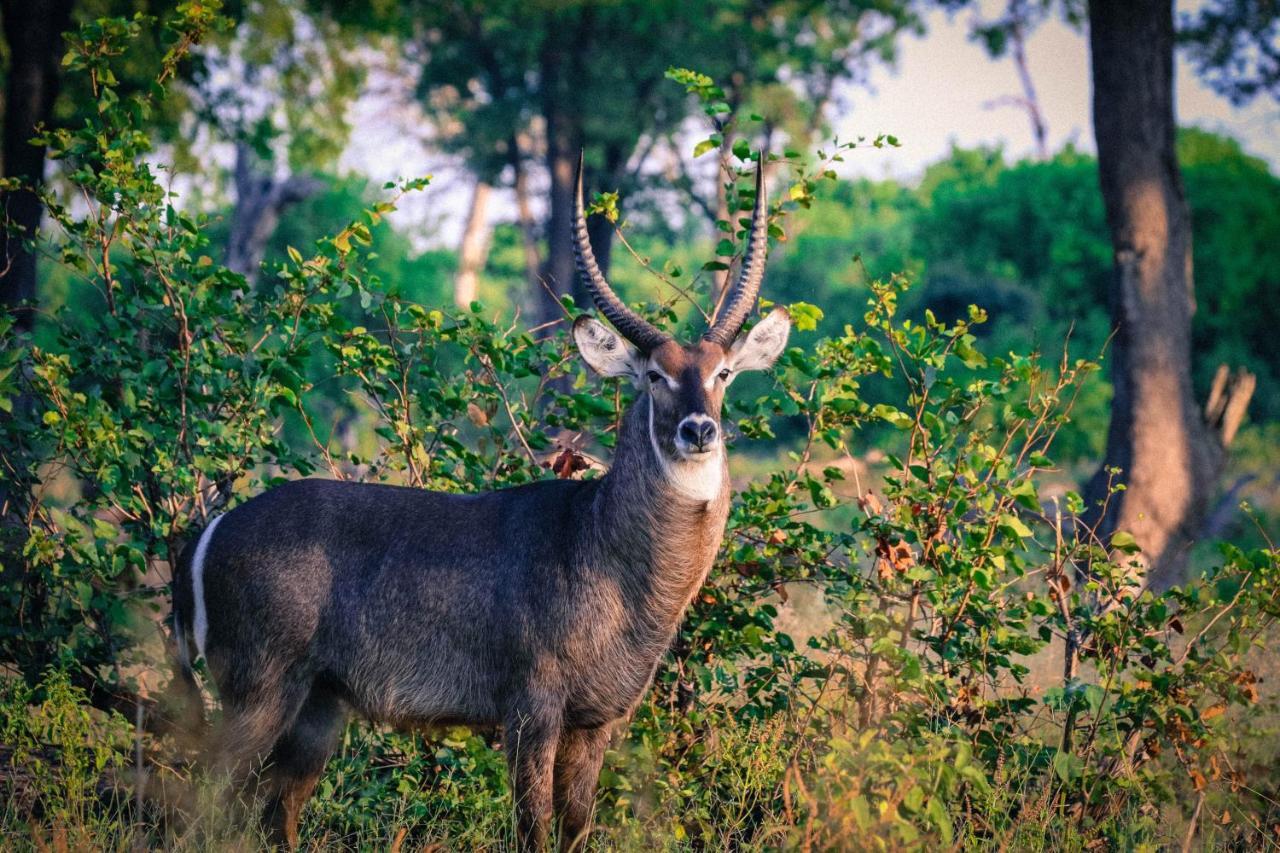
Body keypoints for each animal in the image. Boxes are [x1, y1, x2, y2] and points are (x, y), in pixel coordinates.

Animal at [172, 157, 788, 845]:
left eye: (722, 374)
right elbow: (532, 827)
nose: (698, 430)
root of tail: (209, 532)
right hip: (258, 688)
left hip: (319, 705)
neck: (605, 547)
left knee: (276, 813)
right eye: (655, 374)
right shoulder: (530, 708)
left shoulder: (597, 719)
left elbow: (576, 827)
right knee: (198, 801)